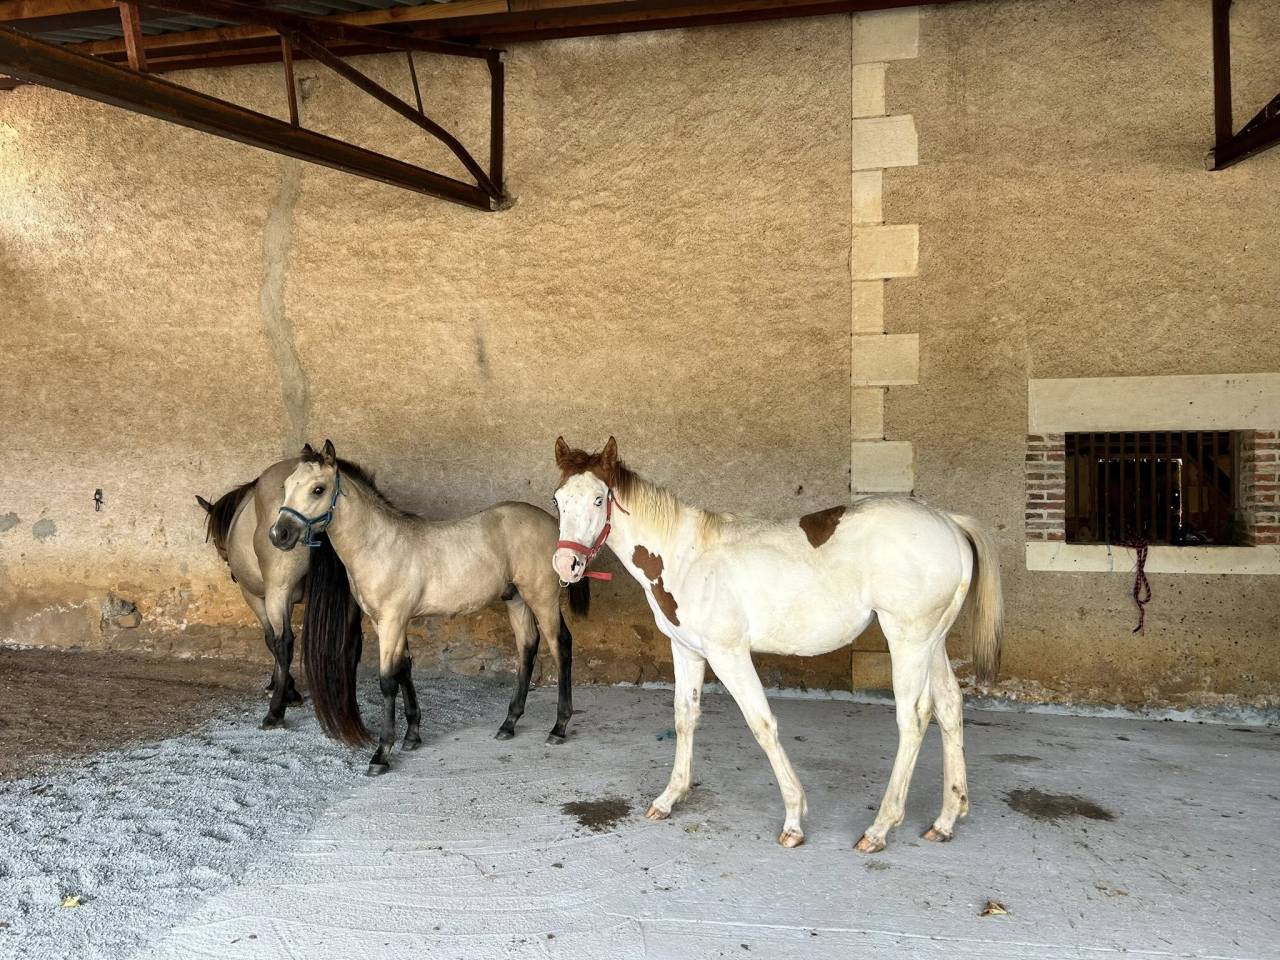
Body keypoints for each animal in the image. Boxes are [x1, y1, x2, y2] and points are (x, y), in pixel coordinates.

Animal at [269, 440, 590, 776]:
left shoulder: (392, 621)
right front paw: (412, 735)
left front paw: (382, 753)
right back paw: (509, 723)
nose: (279, 535)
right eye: (287, 485)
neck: (379, 544)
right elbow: (404, 668)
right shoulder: (390, 622)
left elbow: (388, 681)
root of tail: (554, 526)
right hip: (515, 598)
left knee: (560, 646)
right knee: (527, 646)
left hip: (542, 598)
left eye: (318, 489)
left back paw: (558, 727)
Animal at [551, 436, 1002, 853]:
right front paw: (668, 798)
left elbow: (762, 725)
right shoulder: (687, 651)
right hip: (933, 642)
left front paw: (794, 819)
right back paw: (945, 820)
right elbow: (684, 717)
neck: (687, 557)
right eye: (558, 500)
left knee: (913, 718)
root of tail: (949, 523)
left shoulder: (728, 654)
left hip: (908, 639)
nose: (565, 565)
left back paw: (879, 828)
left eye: (599, 499)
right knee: (949, 707)